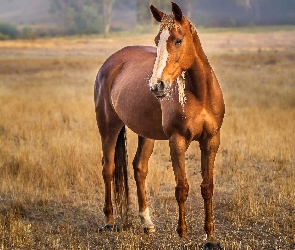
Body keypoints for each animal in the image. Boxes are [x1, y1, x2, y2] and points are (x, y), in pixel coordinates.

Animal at [93, 1, 225, 248]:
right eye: (157, 41)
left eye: (178, 40)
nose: (157, 86)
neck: (200, 94)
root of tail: (111, 63)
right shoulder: (177, 141)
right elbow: (182, 187)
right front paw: (183, 234)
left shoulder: (211, 141)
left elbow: (207, 187)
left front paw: (211, 237)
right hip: (108, 127)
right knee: (108, 168)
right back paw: (109, 221)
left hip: (146, 134)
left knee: (139, 168)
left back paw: (147, 223)